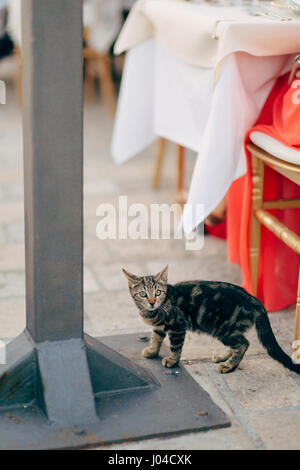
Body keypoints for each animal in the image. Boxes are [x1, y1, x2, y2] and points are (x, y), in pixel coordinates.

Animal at [122, 266, 300, 372]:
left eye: (158, 292)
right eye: (143, 294)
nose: (152, 302)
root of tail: (255, 300)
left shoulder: (178, 326)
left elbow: (175, 347)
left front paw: (172, 361)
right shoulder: (160, 327)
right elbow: (156, 337)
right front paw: (152, 351)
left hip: (223, 329)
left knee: (243, 343)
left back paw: (228, 365)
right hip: (230, 329)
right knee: (239, 343)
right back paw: (223, 356)